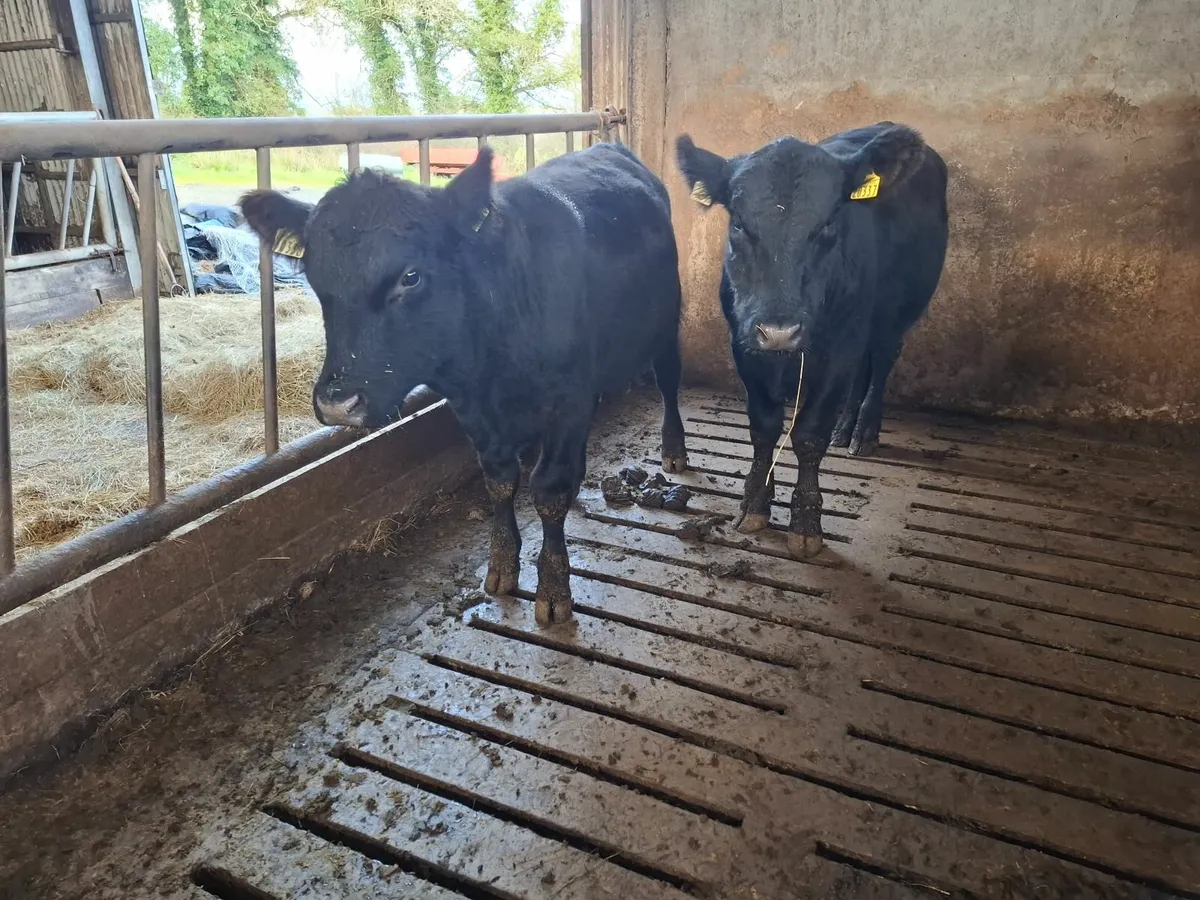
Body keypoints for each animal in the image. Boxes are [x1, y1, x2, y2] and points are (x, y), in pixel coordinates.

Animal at [239, 142, 688, 627]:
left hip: (666, 326)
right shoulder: (471, 407)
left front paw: (554, 588)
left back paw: (675, 449)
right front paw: (502, 566)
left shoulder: (568, 400)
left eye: (411, 276)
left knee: (669, 383)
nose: (337, 403)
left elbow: (549, 490)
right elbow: (500, 481)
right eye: (315, 279)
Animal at [675, 122, 948, 558]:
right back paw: (845, 429)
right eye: (739, 225)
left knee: (882, 361)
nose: (780, 331)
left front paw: (805, 523)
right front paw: (755, 503)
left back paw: (864, 432)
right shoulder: (743, 343)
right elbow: (764, 427)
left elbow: (808, 435)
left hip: (897, 311)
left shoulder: (836, 351)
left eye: (829, 224)